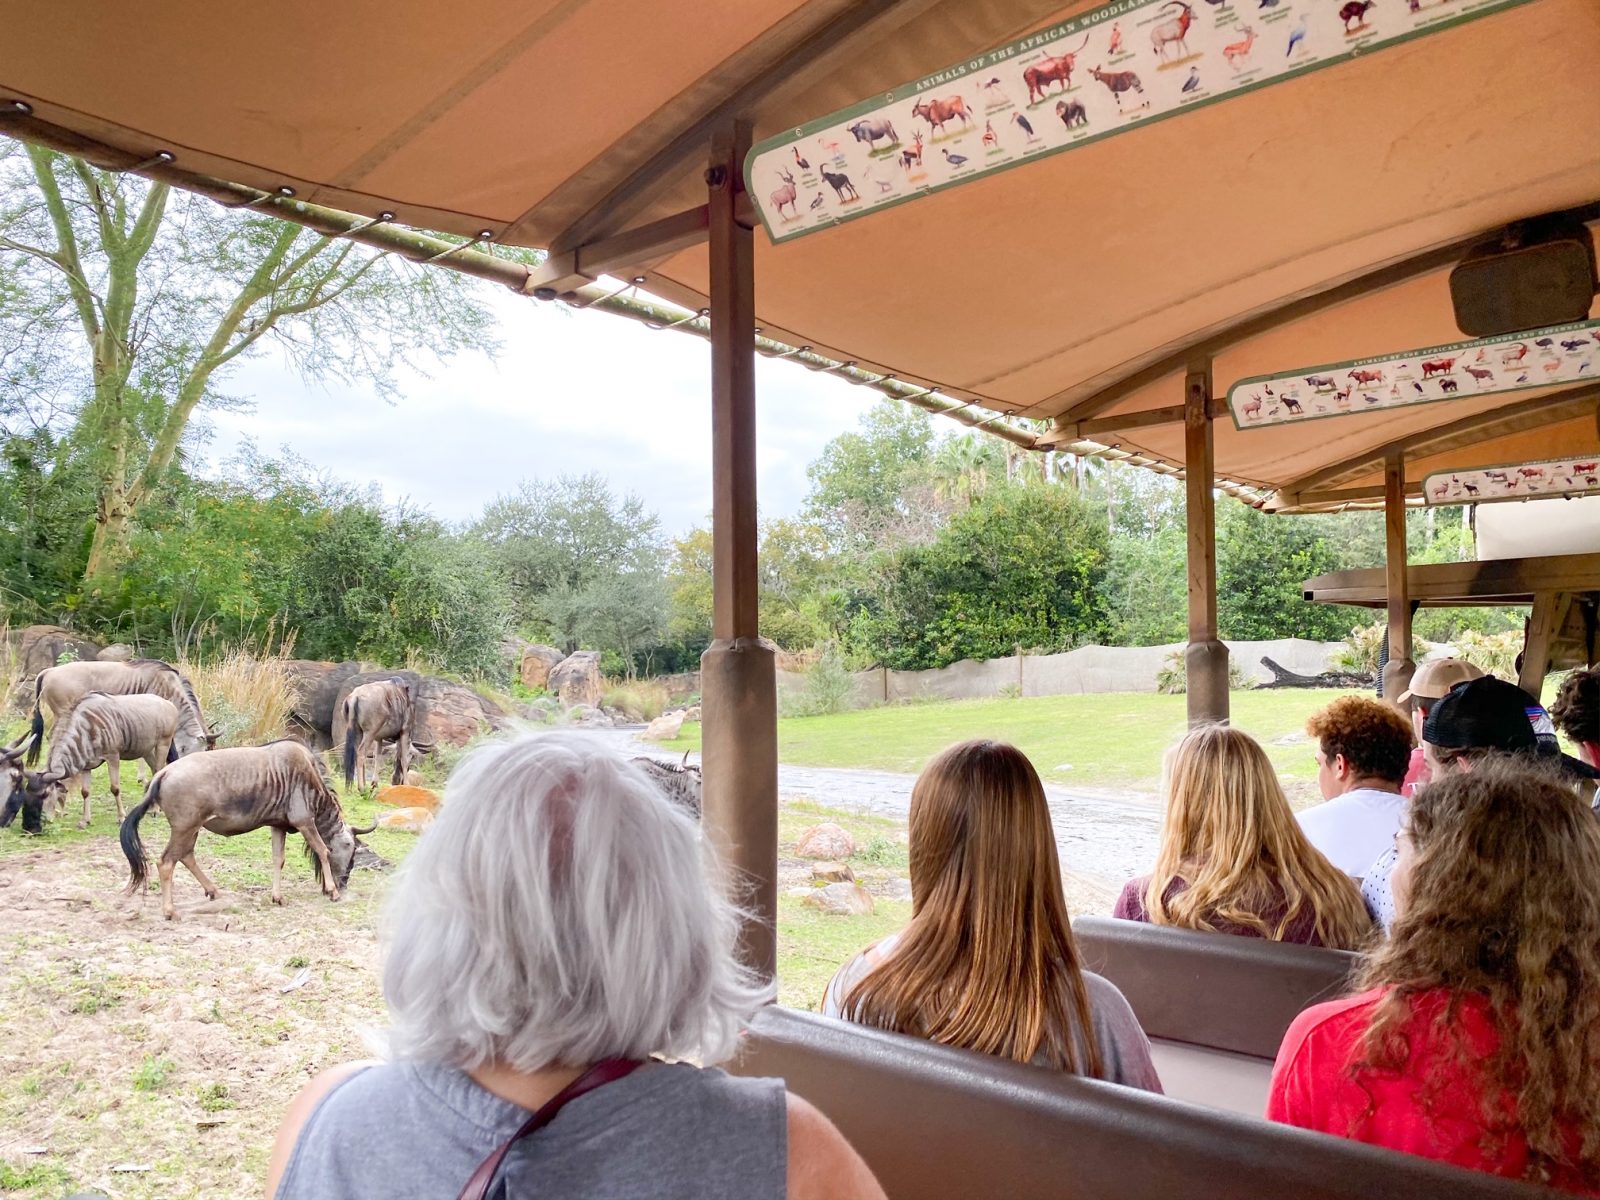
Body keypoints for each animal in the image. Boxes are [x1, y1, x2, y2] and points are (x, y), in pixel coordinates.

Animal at [1, 694, 182, 838]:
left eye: (45, 794)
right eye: (25, 793)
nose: (30, 829)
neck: (87, 728)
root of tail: (169, 704)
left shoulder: (112, 756)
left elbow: (115, 788)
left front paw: (121, 817)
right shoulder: (86, 766)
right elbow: (85, 792)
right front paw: (84, 820)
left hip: (163, 744)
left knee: (159, 770)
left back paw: (155, 810)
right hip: (147, 750)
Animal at [122, 742, 377, 921]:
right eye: (351, 851)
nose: (343, 884)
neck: (310, 778)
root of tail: (162, 774)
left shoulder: (278, 826)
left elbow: (278, 860)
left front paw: (277, 897)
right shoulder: (304, 821)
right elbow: (323, 850)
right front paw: (332, 892)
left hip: (191, 829)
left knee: (185, 855)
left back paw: (213, 891)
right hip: (185, 828)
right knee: (166, 862)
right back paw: (170, 911)